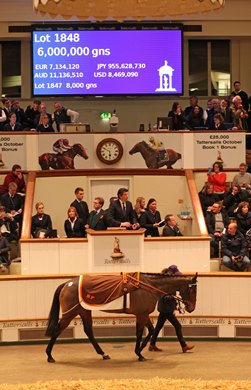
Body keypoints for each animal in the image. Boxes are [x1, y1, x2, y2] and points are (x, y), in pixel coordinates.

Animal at [45, 272, 198, 362]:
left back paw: (103, 354)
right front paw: (139, 353)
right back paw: (49, 355)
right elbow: (140, 333)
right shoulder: (141, 315)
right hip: (70, 313)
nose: (191, 308)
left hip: (84, 311)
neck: (148, 285)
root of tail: (67, 283)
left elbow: (151, 330)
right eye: (194, 290)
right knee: (57, 330)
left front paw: (141, 350)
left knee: (88, 331)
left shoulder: (143, 314)